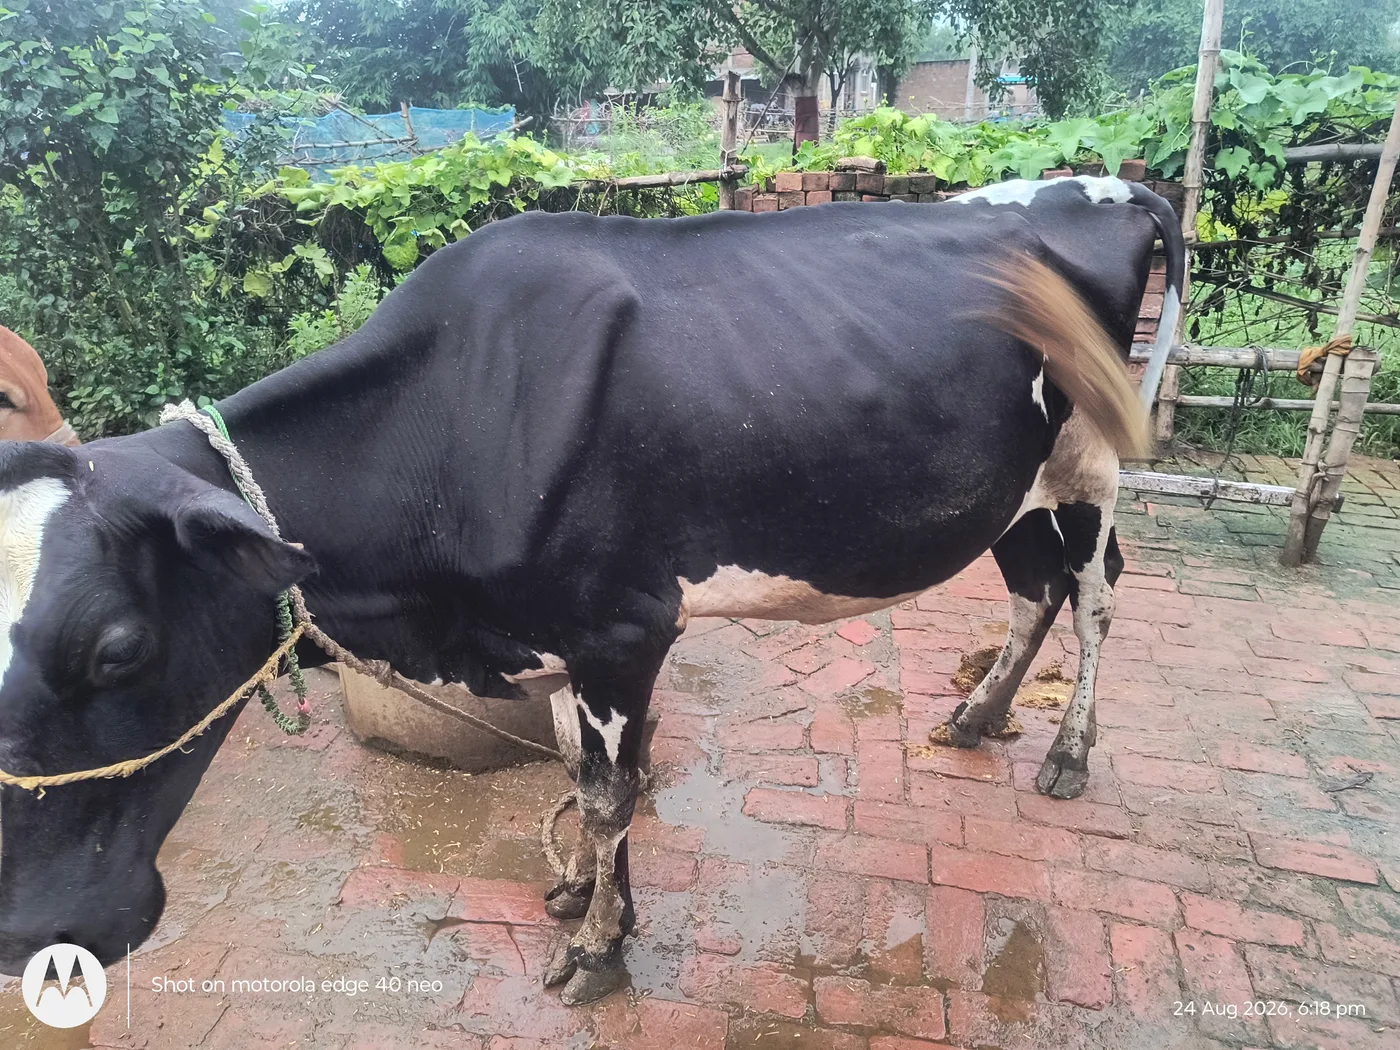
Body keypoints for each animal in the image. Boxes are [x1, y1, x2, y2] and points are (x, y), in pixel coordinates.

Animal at [0, 176, 1184, 1004]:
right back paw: (979, 715)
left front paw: (598, 950)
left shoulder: (623, 626)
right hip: (1010, 489)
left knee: (1095, 594)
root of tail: (1098, 184)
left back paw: (1067, 752)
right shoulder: (559, 632)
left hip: (1091, 462)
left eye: (115, 648)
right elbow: (576, 766)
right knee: (1032, 590)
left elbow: (614, 792)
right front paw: (580, 891)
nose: (28, 935)